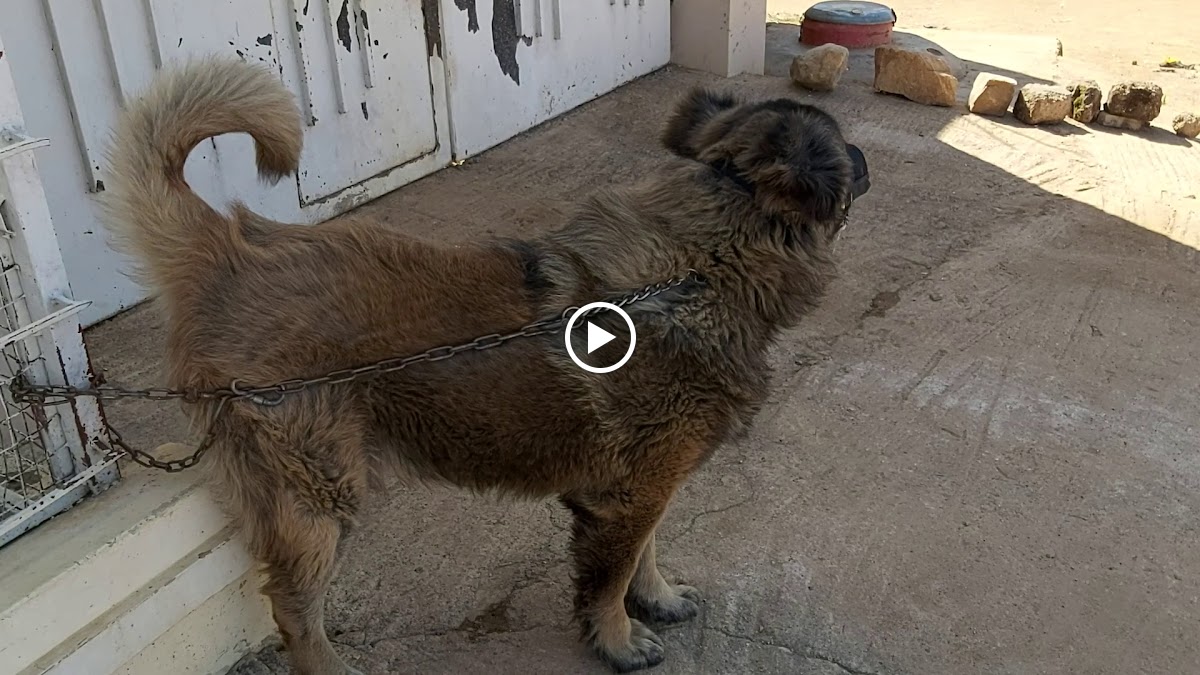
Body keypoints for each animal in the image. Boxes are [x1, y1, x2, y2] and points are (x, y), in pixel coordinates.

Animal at [100, 57, 869, 674]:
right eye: (841, 145)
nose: (864, 158)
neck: (705, 262)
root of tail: (226, 250)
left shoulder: (650, 483)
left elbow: (645, 553)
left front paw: (658, 598)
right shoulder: (631, 494)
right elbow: (610, 576)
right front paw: (619, 640)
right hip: (318, 495)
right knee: (294, 607)